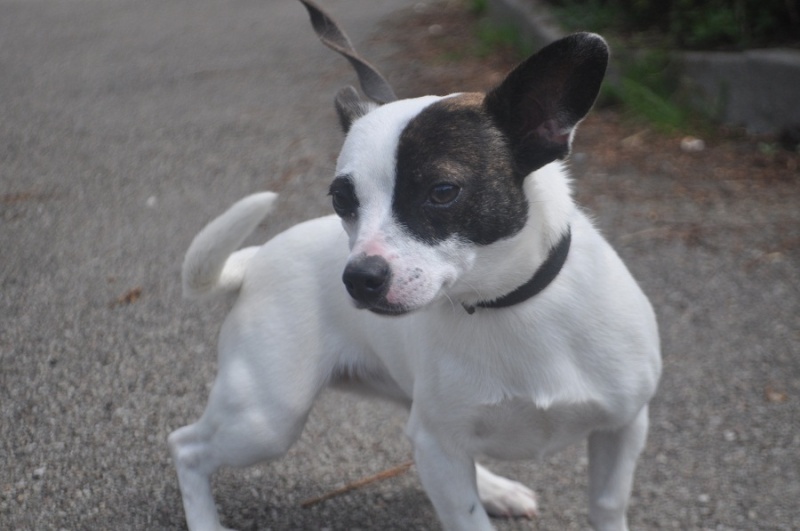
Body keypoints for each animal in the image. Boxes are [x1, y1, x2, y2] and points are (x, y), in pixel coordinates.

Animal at [169, 4, 664, 531]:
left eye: (443, 192)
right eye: (342, 199)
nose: (358, 279)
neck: (506, 304)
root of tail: (258, 256)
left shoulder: (624, 427)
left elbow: (607, 506)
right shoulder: (439, 447)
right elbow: (468, 517)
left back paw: (496, 489)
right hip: (266, 419)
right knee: (187, 447)